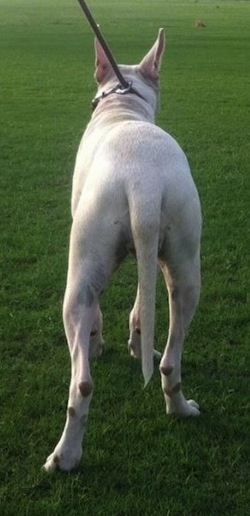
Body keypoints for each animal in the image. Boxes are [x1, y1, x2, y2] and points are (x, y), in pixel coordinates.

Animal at [43, 28, 201, 472]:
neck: (124, 110)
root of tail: (143, 181)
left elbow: (97, 314)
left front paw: (98, 341)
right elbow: (140, 303)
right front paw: (136, 340)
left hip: (77, 279)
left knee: (81, 381)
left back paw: (64, 457)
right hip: (186, 264)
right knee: (170, 356)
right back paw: (180, 407)